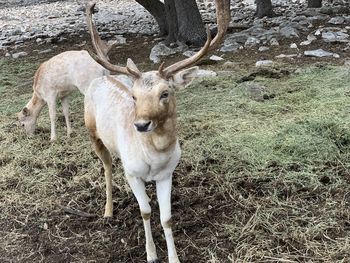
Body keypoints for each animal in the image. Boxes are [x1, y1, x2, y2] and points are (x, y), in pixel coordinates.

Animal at [85, 1, 230, 262]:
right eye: (134, 96)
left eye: (165, 93)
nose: (141, 125)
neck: (154, 157)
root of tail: (103, 76)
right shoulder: (132, 173)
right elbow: (145, 211)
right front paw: (151, 254)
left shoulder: (167, 174)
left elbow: (166, 218)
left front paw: (174, 257)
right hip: (92, 132)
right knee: (107, 167)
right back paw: (108, 211)